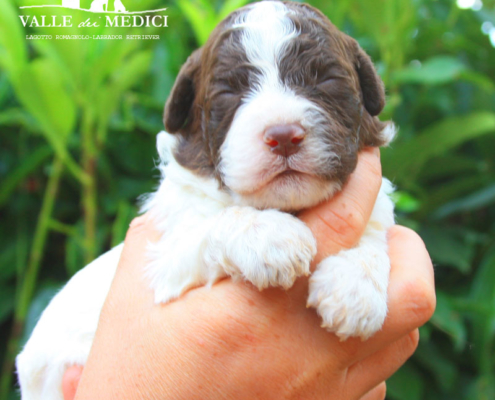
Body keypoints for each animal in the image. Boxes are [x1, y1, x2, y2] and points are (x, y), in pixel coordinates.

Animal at [15, 1, 398, 398]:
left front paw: (354, 287)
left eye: (323, 81)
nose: (283, 136)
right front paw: (271, 236)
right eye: (229, 94)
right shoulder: (165, 266)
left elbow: (374, 236)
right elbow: (215, 222)